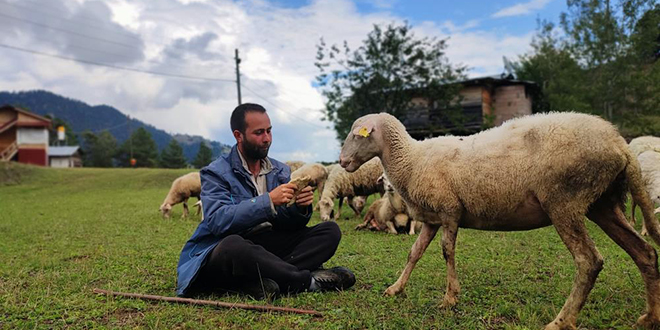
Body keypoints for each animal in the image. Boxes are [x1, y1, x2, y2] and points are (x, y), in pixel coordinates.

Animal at [340, 111, 660, 330]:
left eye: (357, 134)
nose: (342, 162)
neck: (410, 158)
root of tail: (619, 143)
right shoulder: (431, 217)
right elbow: (414, 253)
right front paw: (396, 288)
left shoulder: (450, 210)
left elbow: (447, 252)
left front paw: (450, 298)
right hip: (602, 204)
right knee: (644, 252)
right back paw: (650, 316)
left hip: (564, 202)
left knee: (589, 261)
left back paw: (561, 321)